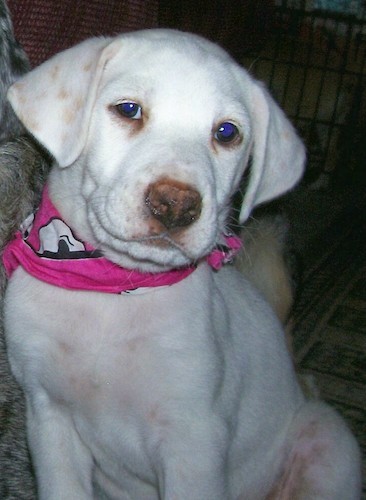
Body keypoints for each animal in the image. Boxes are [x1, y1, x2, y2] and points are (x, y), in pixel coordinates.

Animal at [2, 29, 360, 498]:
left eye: (227, 132)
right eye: (128, 109)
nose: (176, 205)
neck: (113, 292)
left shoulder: (193, 439)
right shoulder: (49, 419)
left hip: (325, 435)